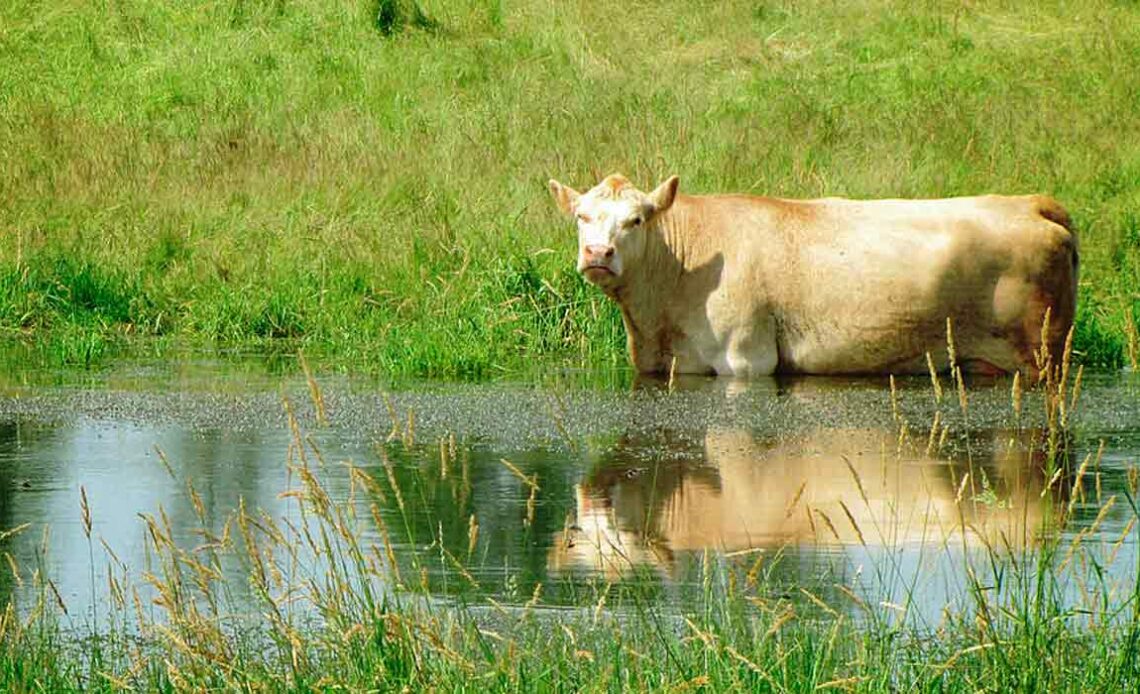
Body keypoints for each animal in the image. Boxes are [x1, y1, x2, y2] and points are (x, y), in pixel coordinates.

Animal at [549, 175, 1076, 376]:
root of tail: (1031, 202)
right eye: (582, 217)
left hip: (1040, 354)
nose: (598, 252)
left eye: (636, 220)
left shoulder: (746, 359)